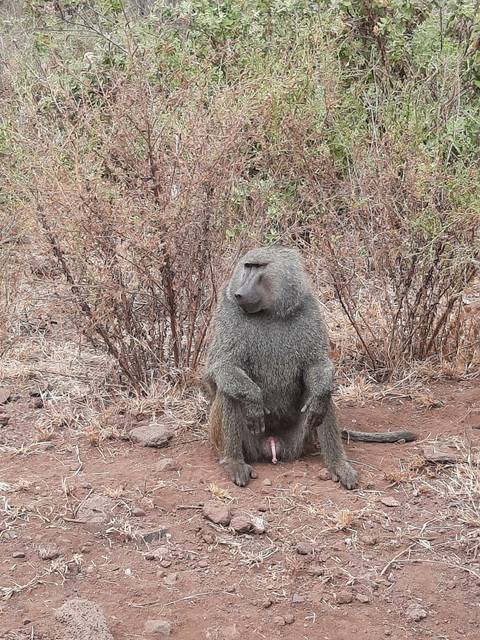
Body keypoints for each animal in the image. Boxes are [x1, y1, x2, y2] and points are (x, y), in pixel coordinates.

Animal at [203, 246, 416, 488]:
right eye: (247, 266)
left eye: (259, 267)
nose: (239, 293)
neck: (270, 311)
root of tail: (272, 446)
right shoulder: (227, 311)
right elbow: (220, 367)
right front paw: (253, 399)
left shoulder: (309, 308)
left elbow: (317, 367)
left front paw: (319, 397)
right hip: (249, 444)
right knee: (227, 390)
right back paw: (234, 462)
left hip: (299, 442)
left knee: (321, 396)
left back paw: (338, 464)